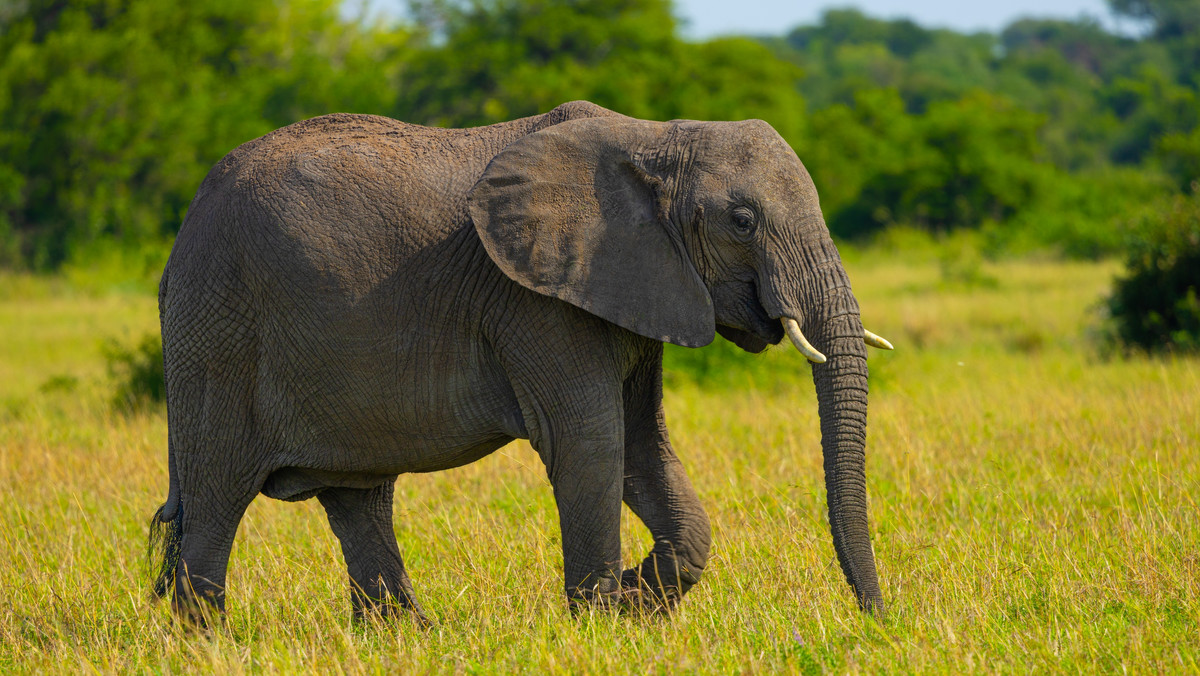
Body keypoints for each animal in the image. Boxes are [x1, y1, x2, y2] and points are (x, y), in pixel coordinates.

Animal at [147, 100, 892, 624]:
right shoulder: (537, 300)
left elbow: (640, 444)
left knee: (358, 497)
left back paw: (410, 635)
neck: (654, 137)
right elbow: (590, 442)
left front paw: (634, 601)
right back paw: (208, 641)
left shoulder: (635, 283)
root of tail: (176, 244)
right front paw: (603, 621)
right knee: (216, 500)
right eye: (742, 220)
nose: (877, 620)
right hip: (218, 334)